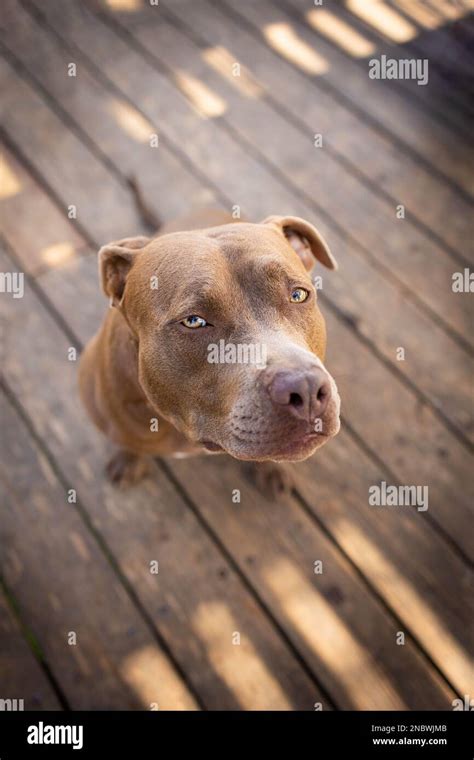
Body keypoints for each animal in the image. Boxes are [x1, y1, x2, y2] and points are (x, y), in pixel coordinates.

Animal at [80, 205, 340, 496]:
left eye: (298, 295)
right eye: (194, 321)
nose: (305, 387)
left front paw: (273, 469)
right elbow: (130, 442)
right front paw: (129, 460)